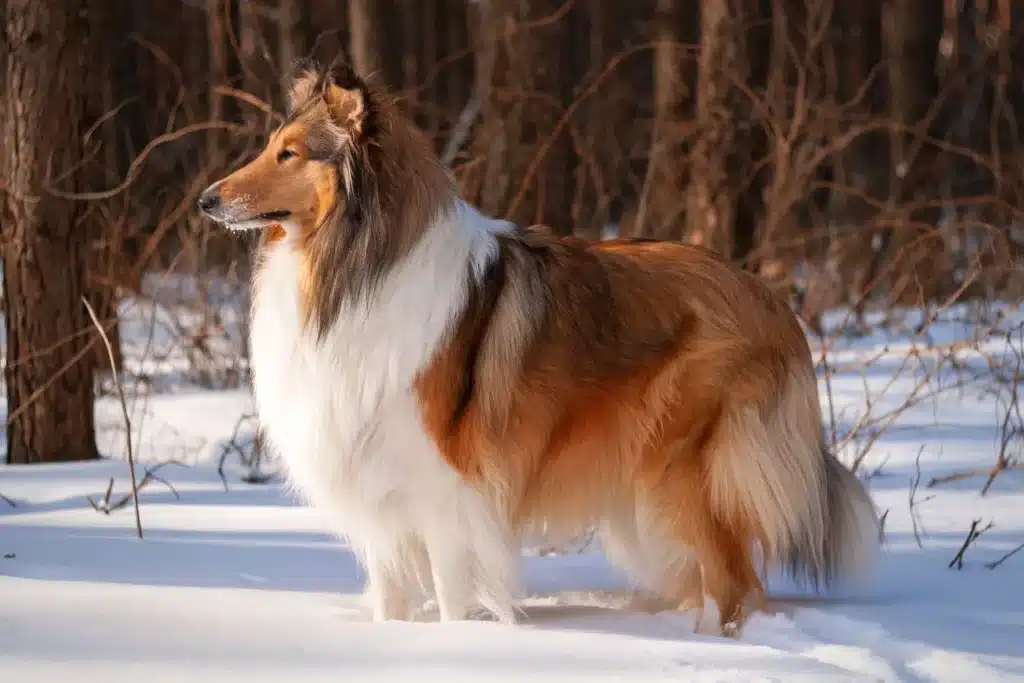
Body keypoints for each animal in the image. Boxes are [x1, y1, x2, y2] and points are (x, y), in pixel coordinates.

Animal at [199, 58, 880, 634]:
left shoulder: (444, 490)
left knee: (738, 584)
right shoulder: (380, 492)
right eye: (269, 146)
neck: (357, 269)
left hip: (685, 472)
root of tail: (773, 300)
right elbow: (392, 598)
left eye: (288, 152)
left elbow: (452, 596)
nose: (205, 199)